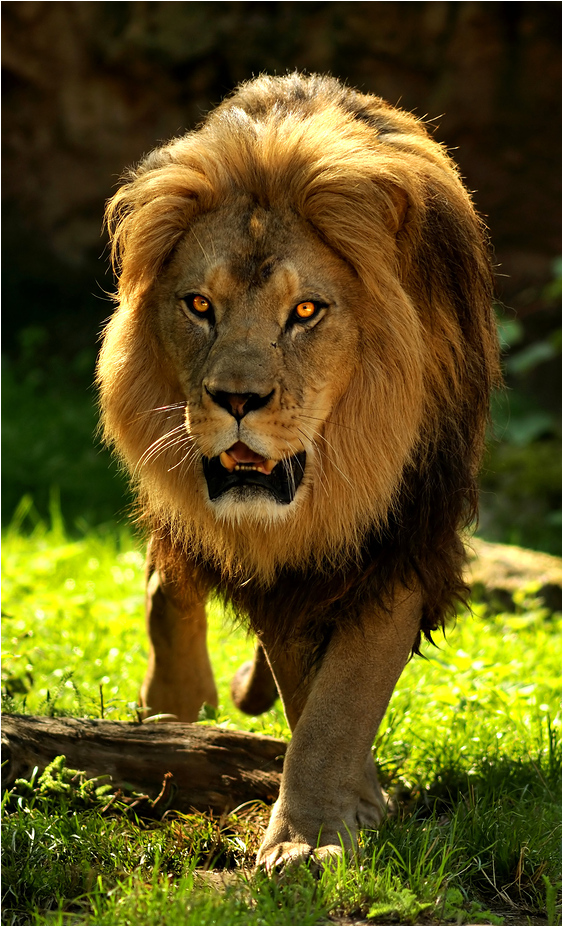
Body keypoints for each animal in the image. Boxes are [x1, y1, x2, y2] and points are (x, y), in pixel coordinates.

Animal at [97, 73, 501, 871]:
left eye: (306, 311)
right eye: (199, 304)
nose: (237, 400)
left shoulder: (402, 537)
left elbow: (340, 700)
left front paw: (314, 834)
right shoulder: (282, 566)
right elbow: (308, 688)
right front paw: (347, 807)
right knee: (168, 576)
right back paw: (173, 701)